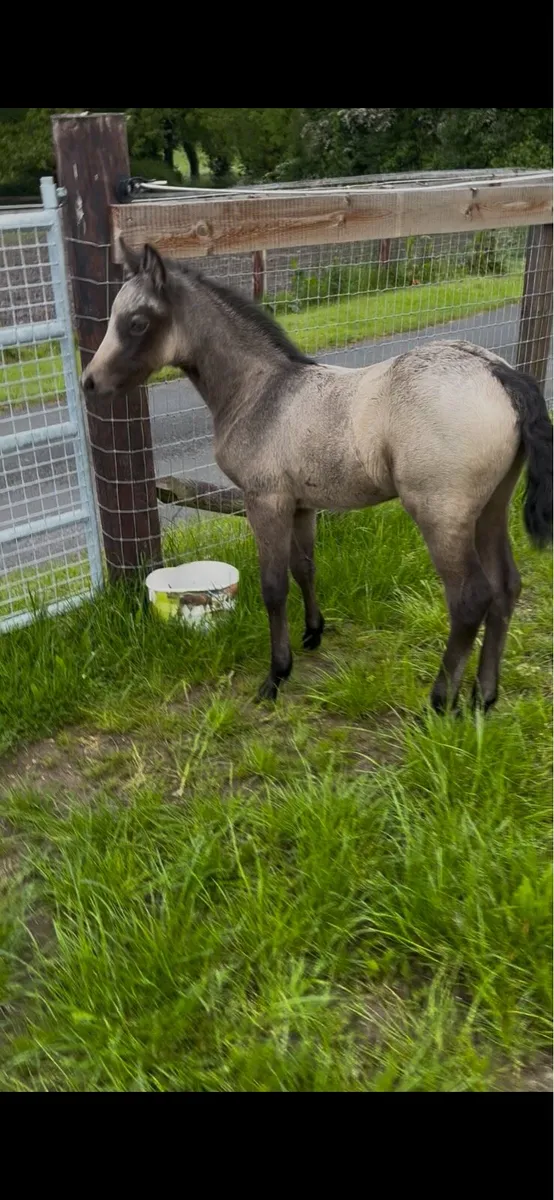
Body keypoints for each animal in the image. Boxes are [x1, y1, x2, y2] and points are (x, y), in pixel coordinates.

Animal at [81, 240, 553, 713]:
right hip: (490, 507)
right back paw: (484, 696)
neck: (260, 392)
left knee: (470, 598)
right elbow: (304, 568)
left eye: (137, 322)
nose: (89, 382)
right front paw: (313, 632)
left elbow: (273, 586)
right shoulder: (301, 505)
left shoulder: (264, 501)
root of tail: (498, 372)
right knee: (506, 587)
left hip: (441, 514)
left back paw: (439, 703)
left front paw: (276, 675)